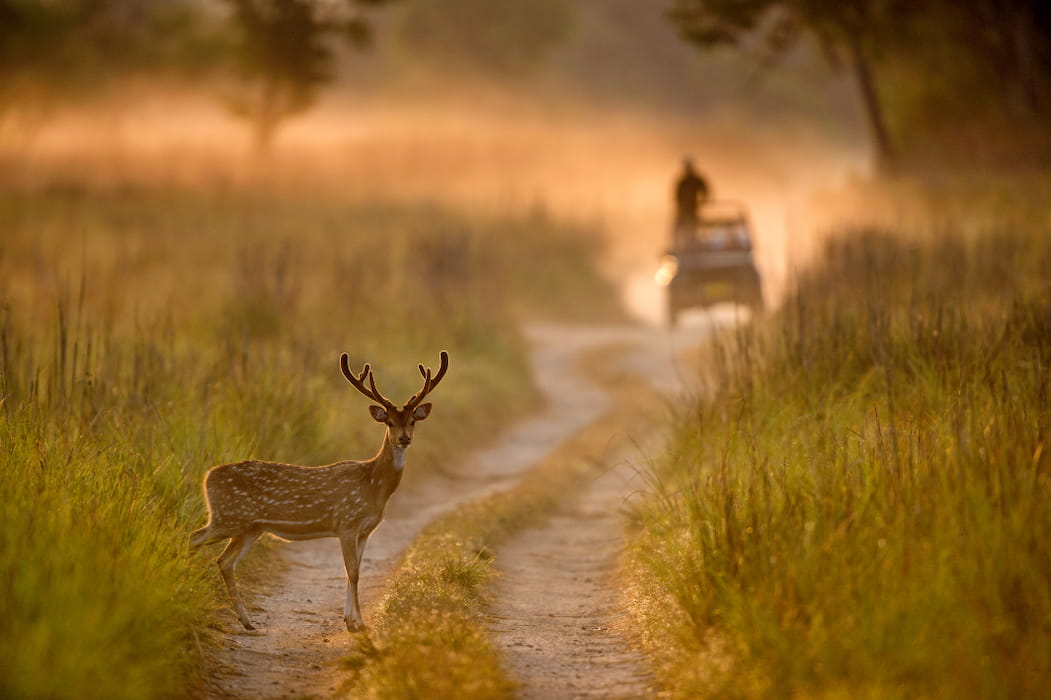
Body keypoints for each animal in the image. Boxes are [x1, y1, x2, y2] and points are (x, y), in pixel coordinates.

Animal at [191, 351, 449, 630]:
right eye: (389, 422)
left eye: (412, 421)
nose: (404, 438)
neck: (373, 486)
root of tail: (208, 476)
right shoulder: (346, 522)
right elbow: (353, 572)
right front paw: (359, 623)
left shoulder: (365, 531)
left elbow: (355, 571)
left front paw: (350, 619)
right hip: (228, 517)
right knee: (195, 537)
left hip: (250, 528)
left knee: (225, 561)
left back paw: (247, 621)